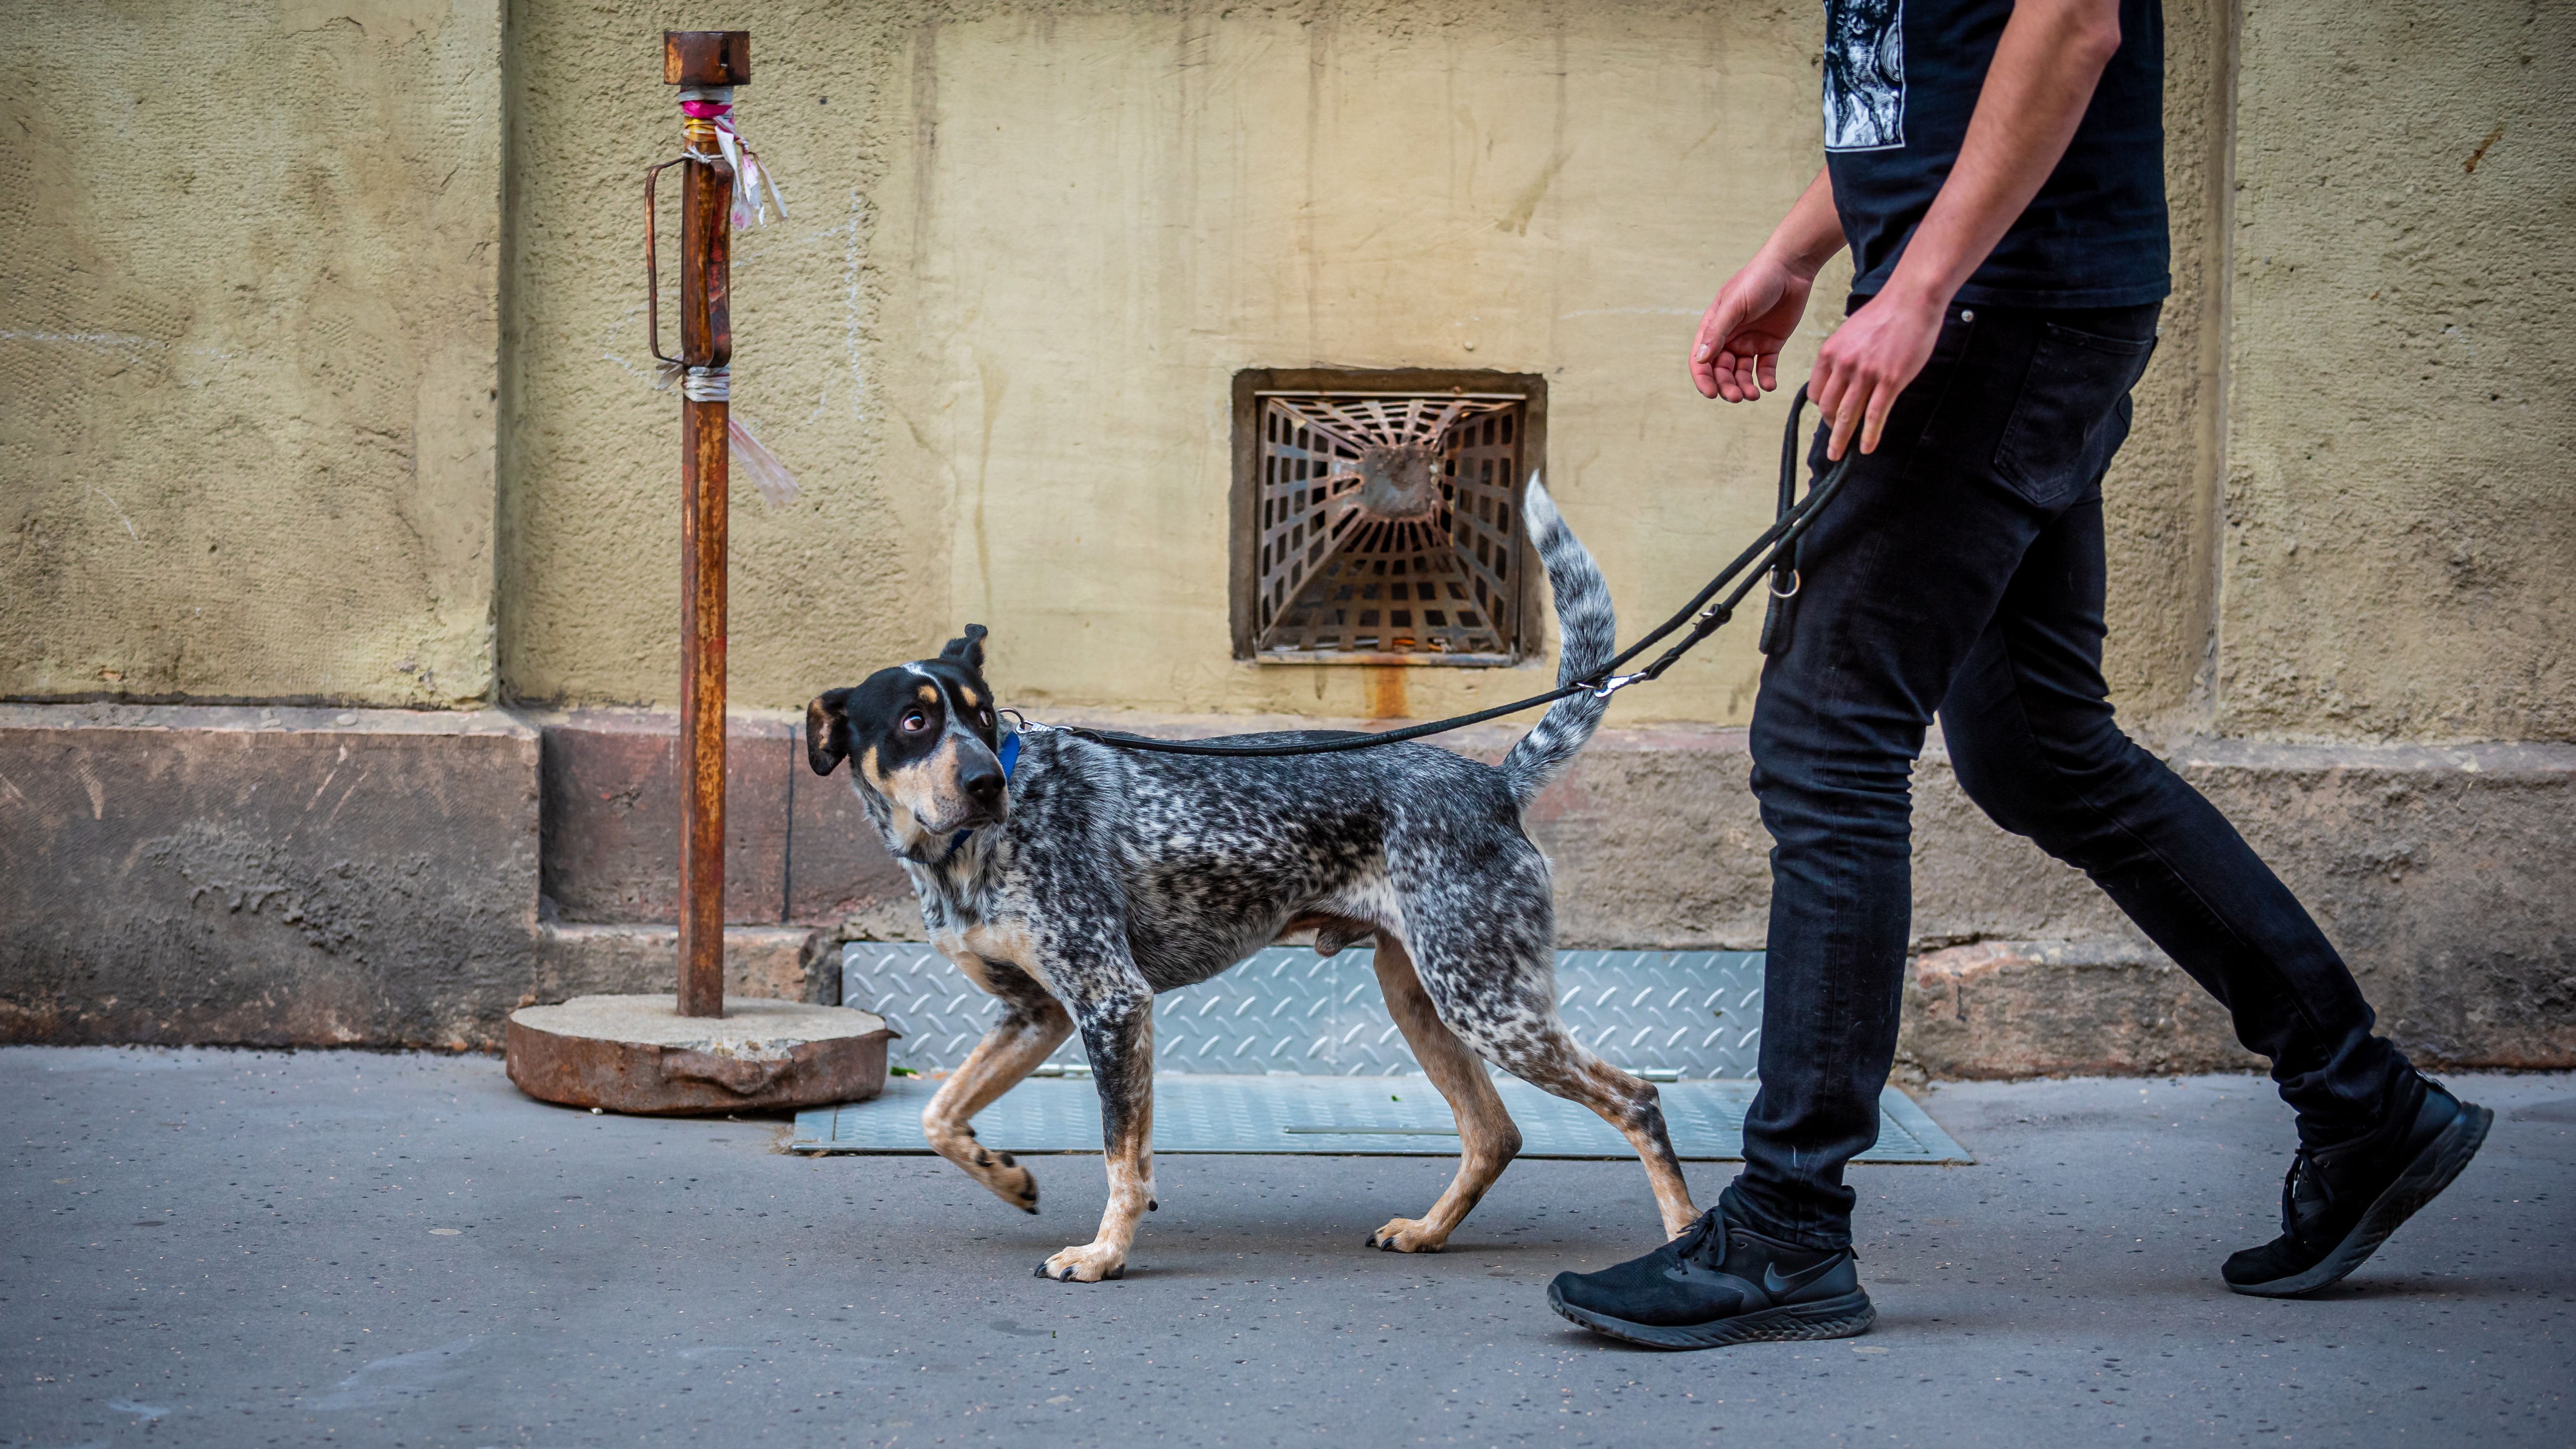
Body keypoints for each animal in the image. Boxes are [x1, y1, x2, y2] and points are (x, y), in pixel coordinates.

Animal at [804, 479, 1690, 1279]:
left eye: (982, 715)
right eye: (915, 722)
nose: (989, 781)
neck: (965, 854)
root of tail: (1496, 783)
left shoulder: (1111, 1001)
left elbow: (1120, 1157)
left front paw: (1104, 1254)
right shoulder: (1038, 1013)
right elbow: (939, 1114)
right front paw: (1007, 1175)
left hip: (1488, 1001)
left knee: (1636, 1100)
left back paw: (1682, 1238)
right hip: (1425, 997)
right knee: (1494, 1132)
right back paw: (1428, 1232)